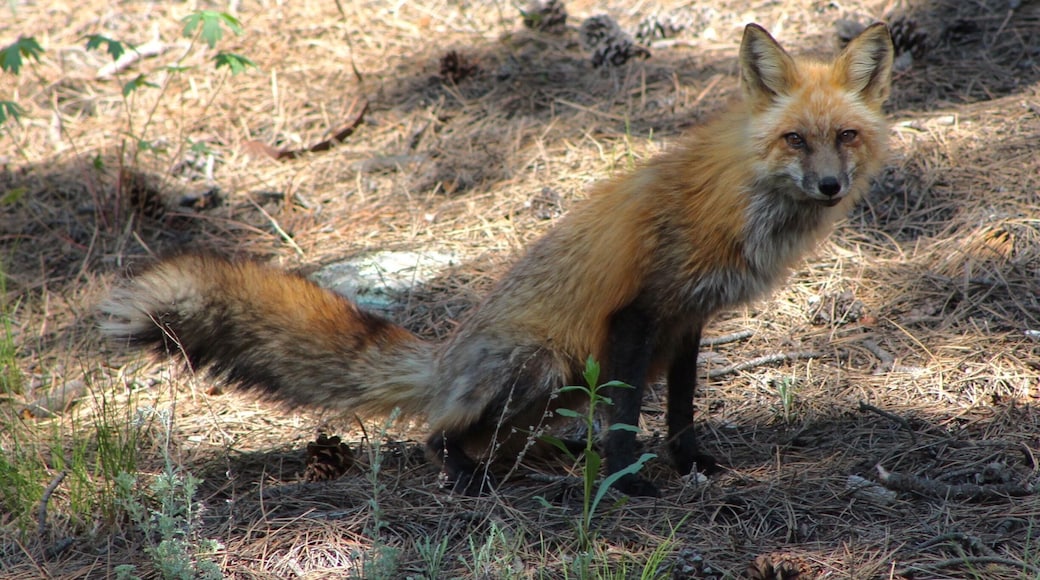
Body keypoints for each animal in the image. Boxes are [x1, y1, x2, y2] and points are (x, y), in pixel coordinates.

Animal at [101, 23, 894, 497]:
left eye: (846, 136)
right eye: (795, 138)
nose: (831, 186)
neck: (740, 201)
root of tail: (444, 362)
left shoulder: (686, 321)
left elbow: (680, 410)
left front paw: (689, 464)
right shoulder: (638, 314)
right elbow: (628, 417)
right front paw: (629, 483)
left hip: (565, 383)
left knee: (506, 436)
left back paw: (555, 457)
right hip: (539, 363)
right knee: (438, 433)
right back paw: (470, 475)